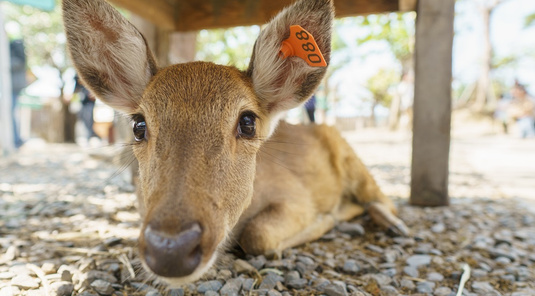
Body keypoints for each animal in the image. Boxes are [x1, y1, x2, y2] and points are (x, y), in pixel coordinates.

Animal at [62, 0, 408, 286]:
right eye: (138, 125)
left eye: (247, 122)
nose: (171, 249)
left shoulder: (296, 196)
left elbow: (259, 236)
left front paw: (325, 219)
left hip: (354, 161)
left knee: (384, 200)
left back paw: (392, 225)